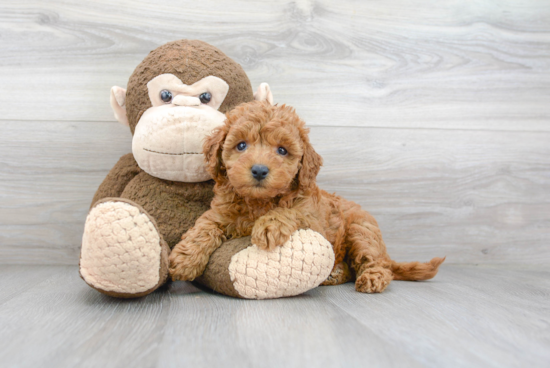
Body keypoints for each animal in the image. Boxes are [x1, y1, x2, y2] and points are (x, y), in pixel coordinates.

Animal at [170, 100, 446, 294]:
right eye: (241, 145)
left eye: (282, 150)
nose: (259, 170)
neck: (259, 202)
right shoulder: (220, 212)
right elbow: (204, 227)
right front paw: (184, 260)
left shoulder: (314, 220)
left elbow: (290, 211)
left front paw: (269, 226)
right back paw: (335, 273)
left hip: (361, 231)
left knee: (375, 262)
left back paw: (371, 278)